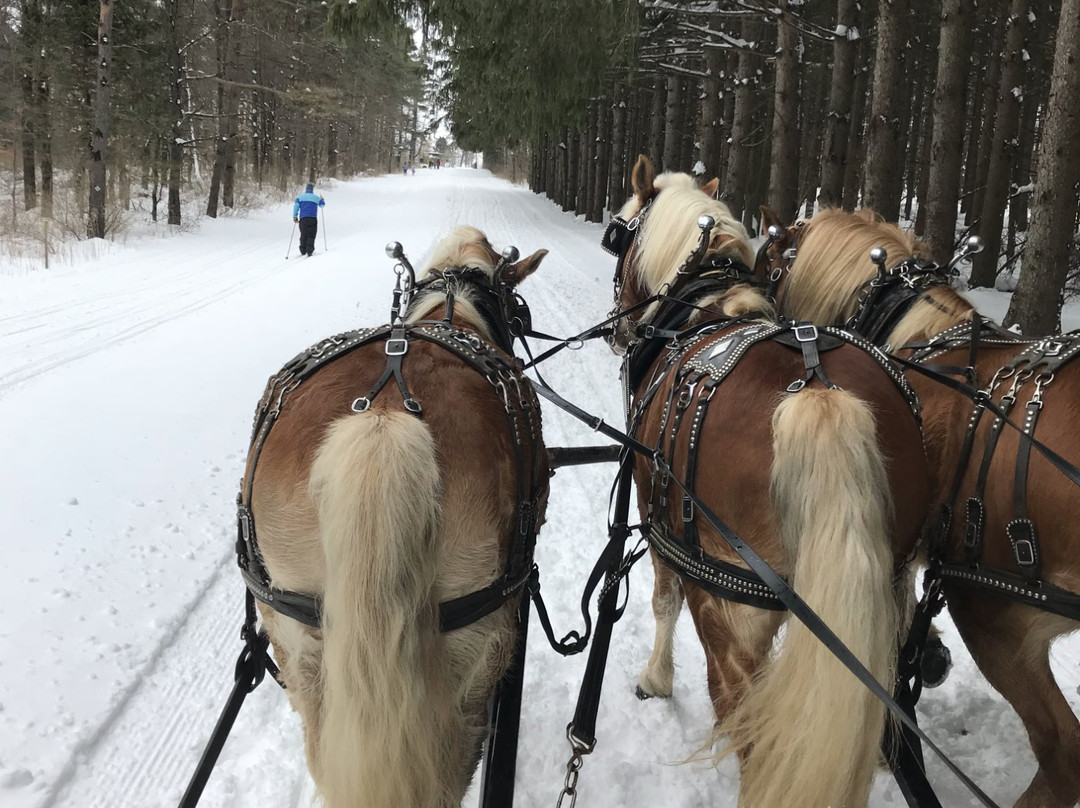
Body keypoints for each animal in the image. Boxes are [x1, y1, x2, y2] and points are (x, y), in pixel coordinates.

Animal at [609, 154, 928, 803]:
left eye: (619, 235)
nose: (616, 331)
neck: (701, 305)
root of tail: (819, 395)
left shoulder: (662, 532)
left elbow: (662, 602)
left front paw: (655, 679)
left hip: (733, 611)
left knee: (746, 727)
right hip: (888, 599)